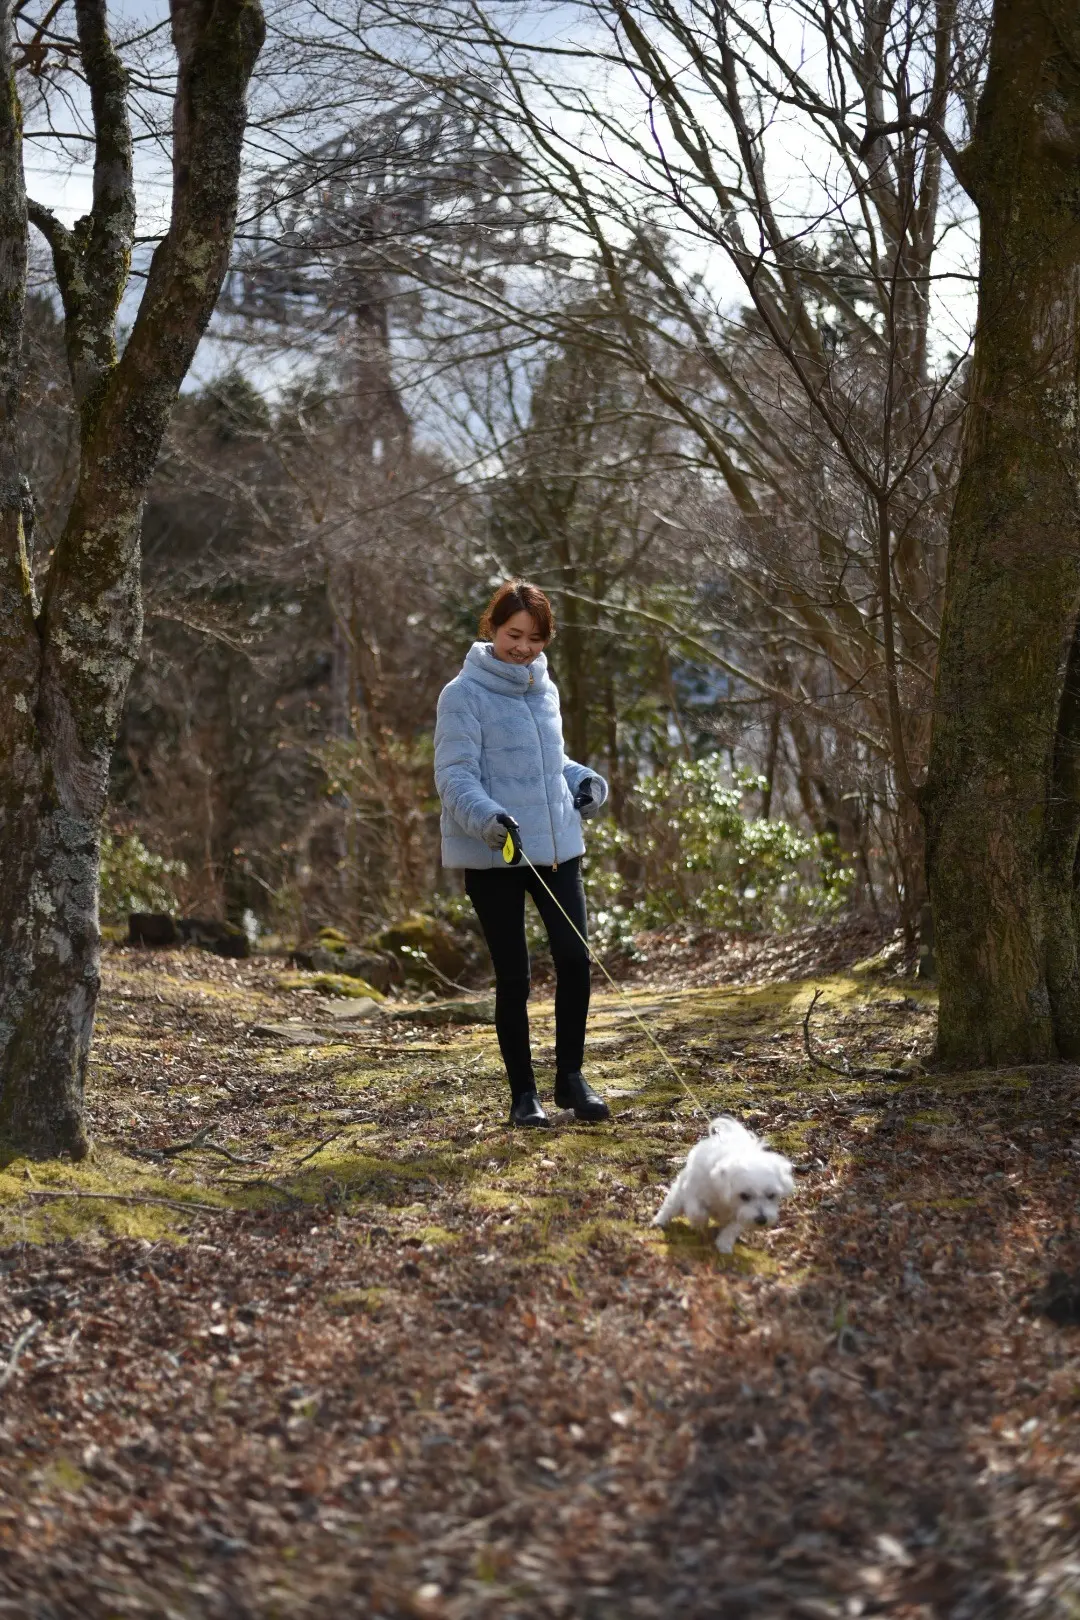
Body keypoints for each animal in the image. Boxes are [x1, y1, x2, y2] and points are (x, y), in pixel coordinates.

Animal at [650, 1114, 793, 1250]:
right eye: (744, 1196)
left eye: (771, 1195)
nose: (762, 1220)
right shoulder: (693, 1193)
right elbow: (697, 1212)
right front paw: (699, 1224)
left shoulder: (739, 1215)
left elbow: (732, 1228)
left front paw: (724, 1245)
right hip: (679, 1194)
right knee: (671, 1206)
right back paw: (660, 1221)